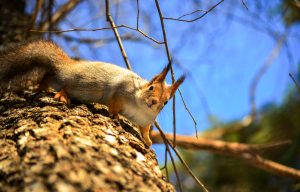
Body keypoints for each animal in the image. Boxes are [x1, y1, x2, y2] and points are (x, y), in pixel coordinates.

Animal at [0, 40, 184, 146]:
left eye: (166, 102)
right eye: (151, 88)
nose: (153, 102)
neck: (140, 106)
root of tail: (69, 66)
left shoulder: (146, 121)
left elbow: (144, 130)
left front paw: (148, 141)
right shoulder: (120, 93)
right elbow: (114, 105)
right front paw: (115, 115)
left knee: (48, 77)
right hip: (75, 83)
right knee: (57, 81)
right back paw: (59, 93)